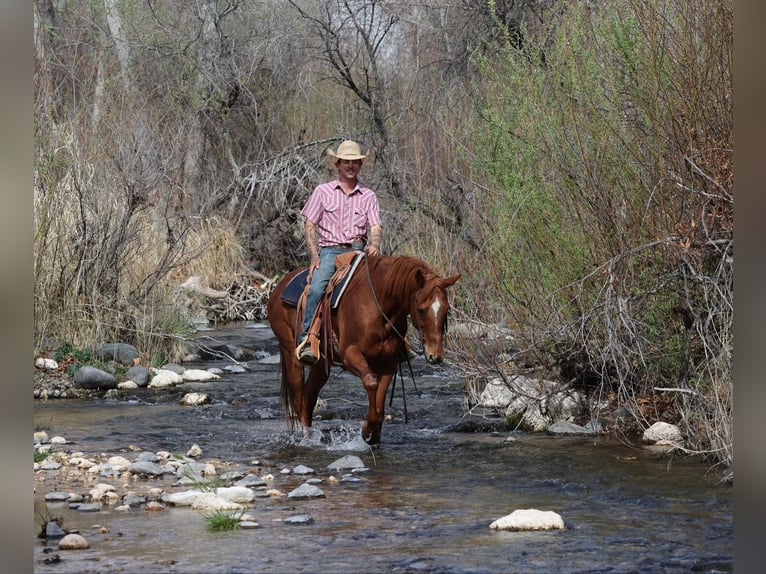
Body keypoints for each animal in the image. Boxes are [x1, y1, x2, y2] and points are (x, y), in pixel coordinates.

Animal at [266, 254, 461, 446]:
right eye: (421, 310)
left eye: (446, 310)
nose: (435, 356)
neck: (379, 306)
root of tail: (279, 287)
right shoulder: (350, 354)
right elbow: (371, 382)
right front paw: (367, 430)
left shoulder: (388, 363)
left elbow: (380, 403)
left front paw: (374, 435)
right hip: (290, 352)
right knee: (299, 395)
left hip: (321, 362)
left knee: (309, 395)